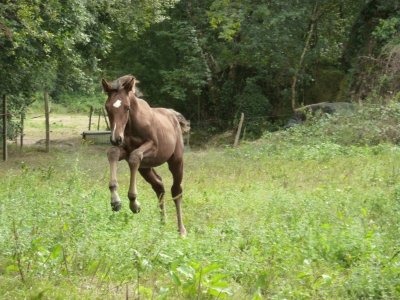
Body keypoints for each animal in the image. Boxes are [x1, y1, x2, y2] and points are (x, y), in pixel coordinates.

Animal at [103, 75, 191, 237]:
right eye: (107, 108)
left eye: (127, 107)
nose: (115, 138)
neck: (131, 125)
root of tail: (174, 116)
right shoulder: (124, 150)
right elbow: (112, 153)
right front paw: (115, 202)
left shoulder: (151, 148)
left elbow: (135, 156)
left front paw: (134, 204)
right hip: (145, 167)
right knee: (159, 186)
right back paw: (162, 224)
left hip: (176, 161)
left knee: (176, 191)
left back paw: (181, 231)